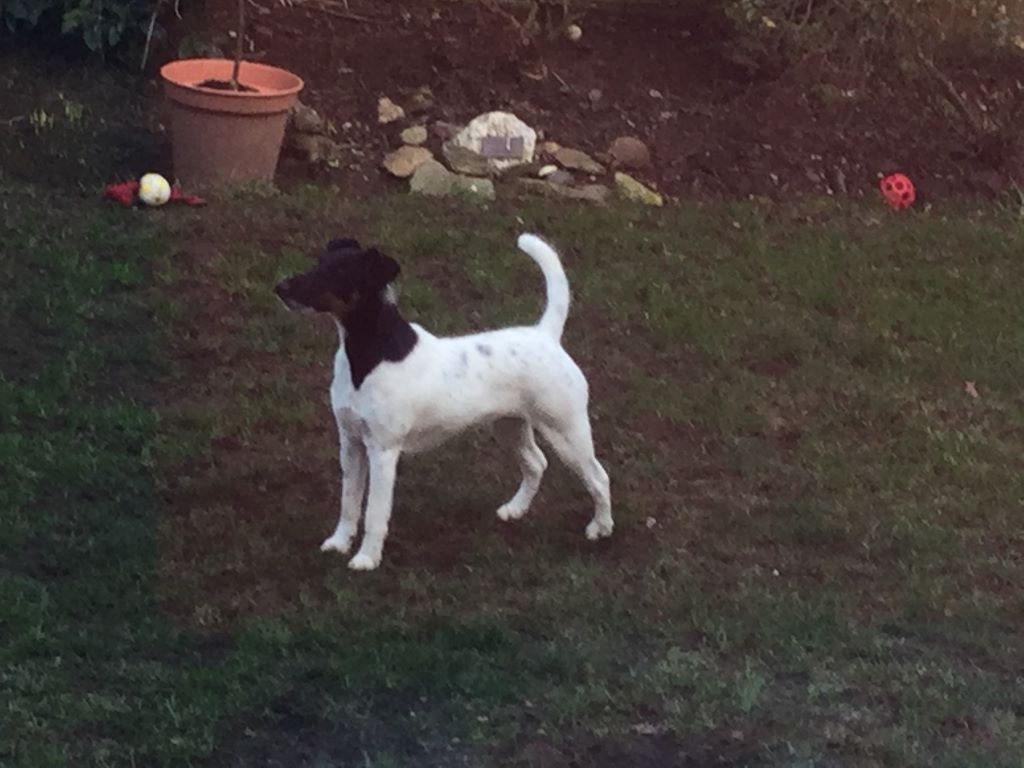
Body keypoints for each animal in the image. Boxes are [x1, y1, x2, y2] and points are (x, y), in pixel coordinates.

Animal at [274, 233, 612, 570]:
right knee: (536, 463)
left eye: (341, 272)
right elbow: (349, 502)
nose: (281, 287)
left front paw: (367, 558)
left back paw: (601, 527)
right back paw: (515, 509)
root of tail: (546, 336)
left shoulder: (383, 451)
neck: (371, 356)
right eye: (318, 263)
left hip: (567, 433)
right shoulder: (351, 443)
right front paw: (339, 542)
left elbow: (374, 513)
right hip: (509, 426)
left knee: (598, 477)